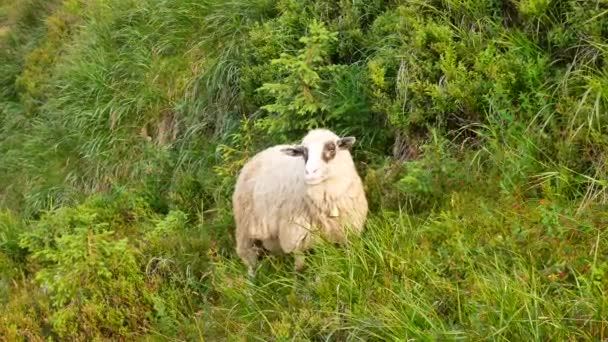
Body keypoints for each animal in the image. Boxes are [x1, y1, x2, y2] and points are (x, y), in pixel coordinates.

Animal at [232, 129, 366, 278]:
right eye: (303, 153)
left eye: (332, 148)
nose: (310, 172)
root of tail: (259, 154)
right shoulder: (295, 233)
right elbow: (300, 266)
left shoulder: (346, 231)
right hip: (245, 226)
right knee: (249, 256)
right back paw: (252, 279)